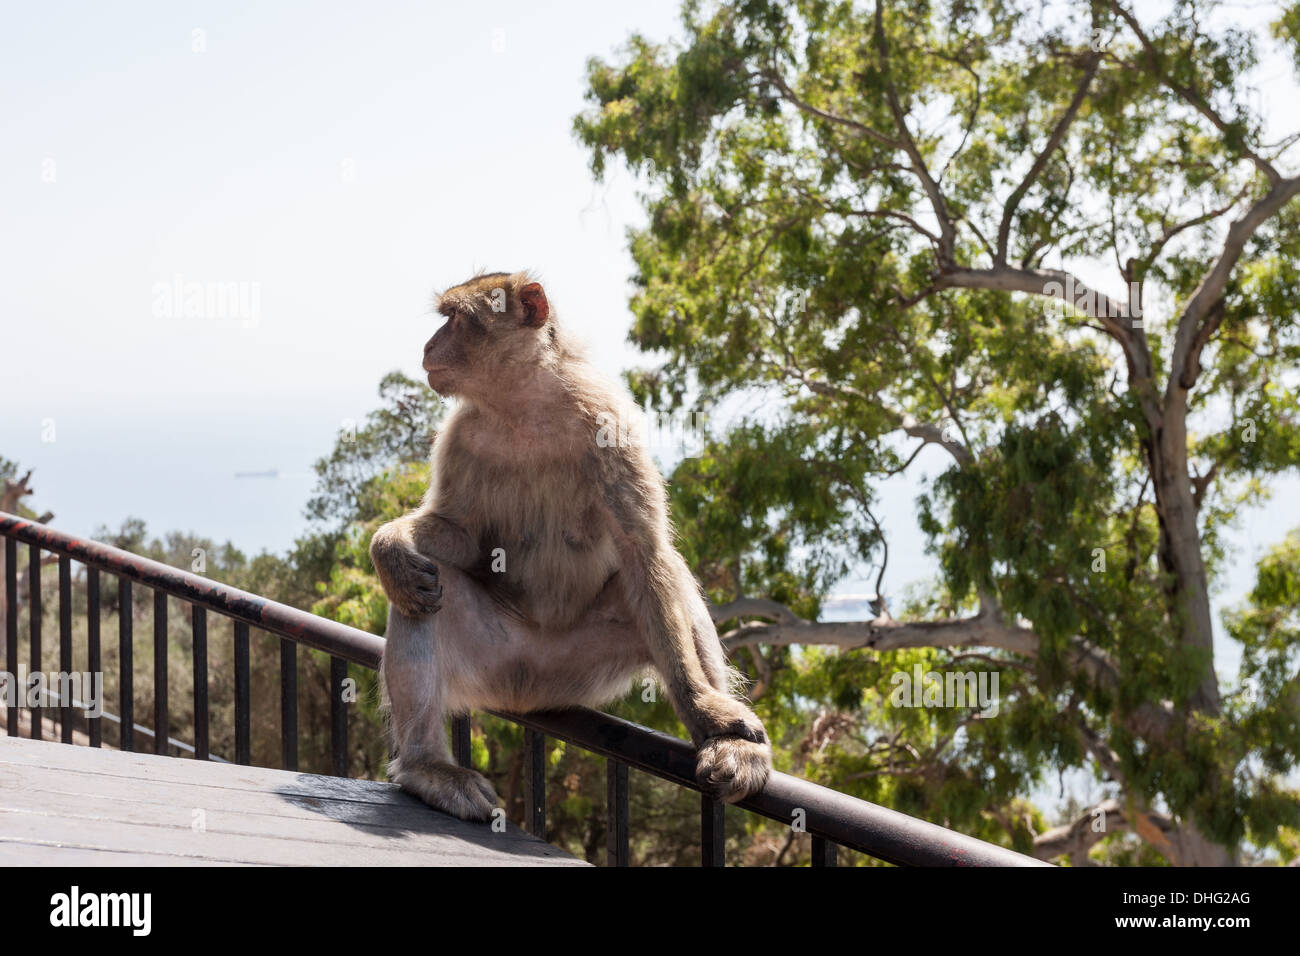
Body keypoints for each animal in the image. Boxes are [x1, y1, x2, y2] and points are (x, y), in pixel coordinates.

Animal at [369, 270, 769, 822]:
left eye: (456, 320)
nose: (428, 346)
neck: (526, 405)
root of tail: (529, 691)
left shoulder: (609, 422)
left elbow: (643, 550)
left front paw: (704, 708)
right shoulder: (460, 436)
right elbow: (459, 536)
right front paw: (389, 546)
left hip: (582, 667)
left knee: (669, 579)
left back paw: (722, 731)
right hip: (494, 661)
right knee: (424, 590)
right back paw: (426, 767)